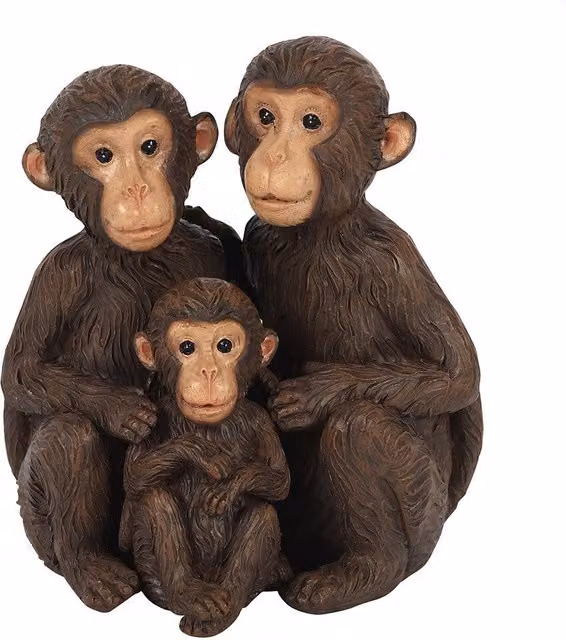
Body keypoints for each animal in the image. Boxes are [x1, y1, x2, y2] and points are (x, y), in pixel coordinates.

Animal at [1, 65, 240, 612]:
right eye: (105, 156)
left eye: (149, 146)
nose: (135, 189)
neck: (135, 261)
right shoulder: (58, 273)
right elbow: (21, 371)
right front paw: (122, 408)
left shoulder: (205, 253)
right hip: (35, 525)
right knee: (69, 437)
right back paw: (91, 568)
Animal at [118, 277, 290, 637]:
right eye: (187, 348)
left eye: (224, 345)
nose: (208, 371)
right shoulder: (155, 414)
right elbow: (135, 475)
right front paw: (202, 454)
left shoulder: (260, 420)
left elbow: (281, 480)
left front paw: (227, 488)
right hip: (152, 576)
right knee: (154, 500)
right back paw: (193, 596)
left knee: (264, 513)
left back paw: (225, 608)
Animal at [224, 36, 483, 613]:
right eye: (266, 116)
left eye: (311, 121)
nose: (275, 155)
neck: (317, 234)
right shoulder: (259, 234)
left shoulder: (392, 262)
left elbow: (459, 375)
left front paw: (316, 392)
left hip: (424, 517)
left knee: (359, 428)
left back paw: (363, 572)